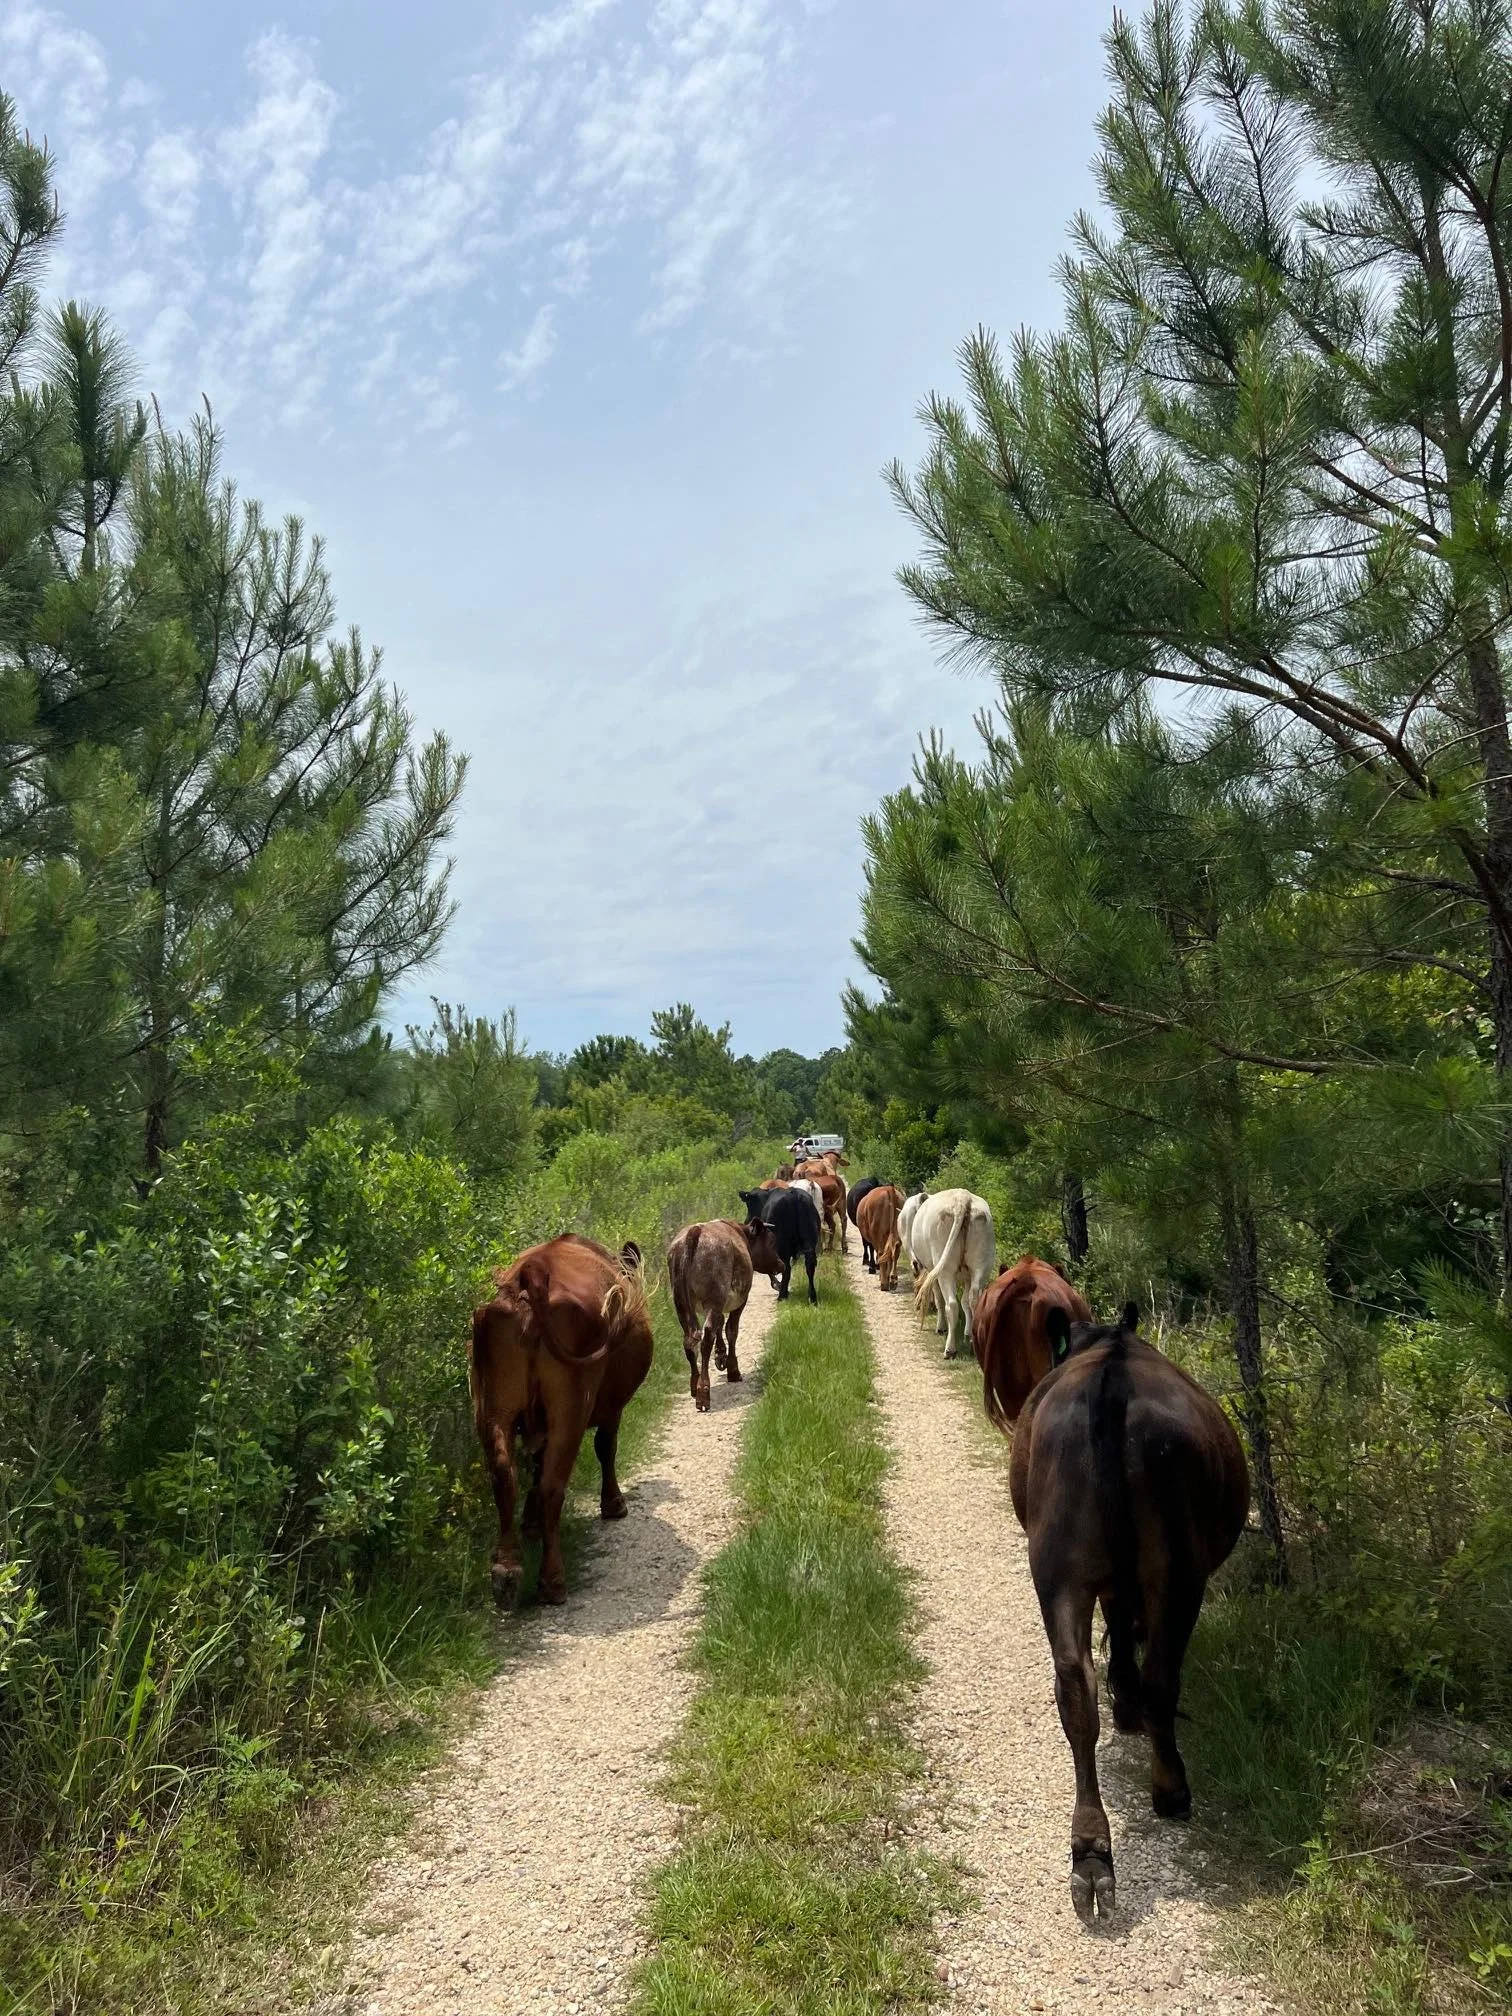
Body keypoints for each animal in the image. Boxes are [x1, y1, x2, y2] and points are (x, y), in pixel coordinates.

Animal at [469, 1234, 653, 1610]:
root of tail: (530, 1278)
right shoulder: (612, 1406)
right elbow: (606, 1447)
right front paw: (614, 1504)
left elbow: (536, 1465)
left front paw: (530, 1524)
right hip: (571, 1406)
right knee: (553, 1486)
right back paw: (552, 1582)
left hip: (492, 1405)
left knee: (504, 1474)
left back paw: (506, 1572)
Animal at [667, 1217, 782, 1410]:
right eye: (772, 1242)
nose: (782, 1264)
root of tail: (696, 1231)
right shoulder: (739, 1300)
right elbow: (731, 1330)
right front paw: (733, 1369)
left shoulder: (719, 1306)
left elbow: (721, 1325)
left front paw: (720, 1355)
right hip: (714, 1298)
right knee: (707, 1337)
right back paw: (703, 1392)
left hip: (681, 1303)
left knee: (690, 1339)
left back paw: (694, 1384)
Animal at [909, 1188, 997, 1359]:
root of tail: (962, 1198)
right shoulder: (968, 1276)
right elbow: (966, 1302)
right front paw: (968, 1333)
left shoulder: (933, 1271)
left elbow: (939, 1299)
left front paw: (941, 1328)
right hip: (981, 1265)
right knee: (974, 1299)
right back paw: (973, 1345)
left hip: (945, 1269)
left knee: (951, 1304)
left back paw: (950, 1349)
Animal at [1010, 1302, 1249, 1923]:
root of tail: (1110, 1377)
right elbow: (1123, 1630)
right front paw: (1128, 1701)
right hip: (1179, 1572)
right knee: (1162, 1678)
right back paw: (1170, 1790)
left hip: (1059, 1569)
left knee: (1075, 1688)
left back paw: (1092, 1852)